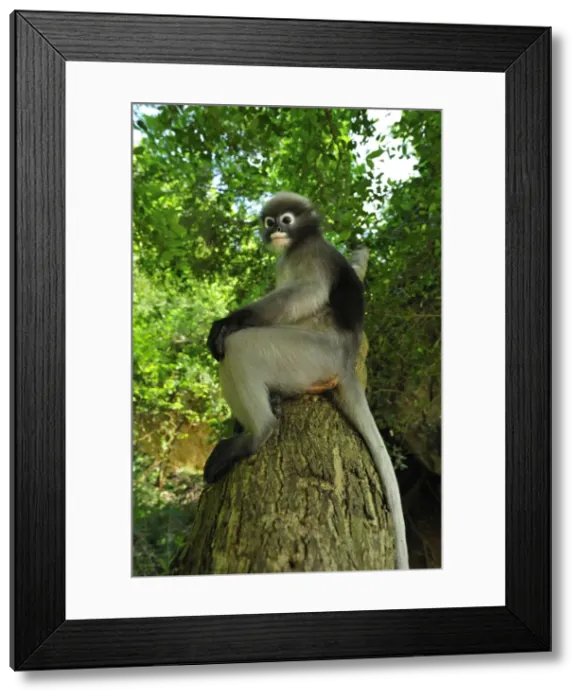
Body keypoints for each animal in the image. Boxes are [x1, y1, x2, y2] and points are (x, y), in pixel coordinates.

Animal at [204, 192, 409, 570]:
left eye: (286, 220)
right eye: (270, 222)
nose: (276, 231)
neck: (297, 244)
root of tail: (345, 361)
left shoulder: (311, 256)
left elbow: (305, 294)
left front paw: (227, 321)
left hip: (309, 355)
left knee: (239, 347)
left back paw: (257, 432)